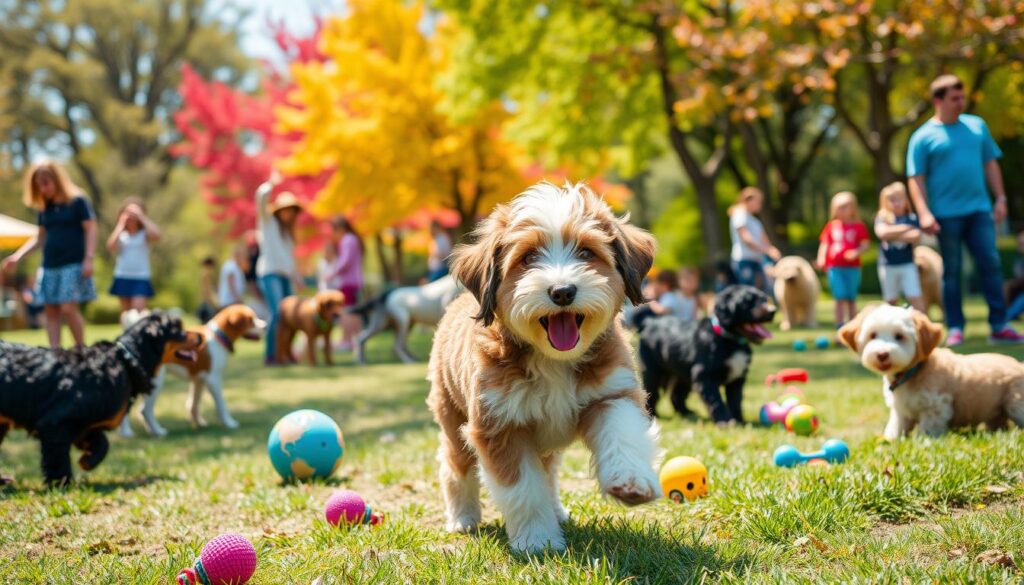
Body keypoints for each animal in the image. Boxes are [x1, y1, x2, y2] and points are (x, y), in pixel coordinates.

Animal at [0, 313, 201, 487]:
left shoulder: (84, 427)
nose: (200, 336)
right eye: (179, 329)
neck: (126, 361)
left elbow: (103, 443)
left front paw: (87, 461)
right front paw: (62, 484)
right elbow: (58, 458)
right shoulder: (56, 423)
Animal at [425, 182, 659, 553]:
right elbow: (524, 488)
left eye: (586, 252)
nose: (562, 292)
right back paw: (462, 516)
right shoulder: (499, 424)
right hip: (452, 417)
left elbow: (622, 432)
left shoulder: (611, 392)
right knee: (455, 465)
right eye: (528, 258)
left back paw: (557, 509)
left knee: (547, 471)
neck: (552, 360)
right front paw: (538, 540)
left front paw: (631, 479)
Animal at [634, 286, 770, 424]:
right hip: (652, 370)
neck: (731, 340)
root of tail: (650, 322)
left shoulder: (737, 378)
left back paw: (686, 413)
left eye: (764, 298)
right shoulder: (704, 375)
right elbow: (716, 400)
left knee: (677, 394)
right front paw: (725, 422)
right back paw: (652, 416)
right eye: (748, 301)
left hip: (683, 373)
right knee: (651, 393)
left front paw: (739, 421)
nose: (772, 311)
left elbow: (735, 400)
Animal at [839, 307, 1024, 438]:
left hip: (1015, 403)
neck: (911, 374)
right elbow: (896, 427)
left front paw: (922, 440)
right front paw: (889, 440)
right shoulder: (900, 411)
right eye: (873, 335)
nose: (882, 354)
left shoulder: (936, 405)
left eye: (899, 336)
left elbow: (928, 427)